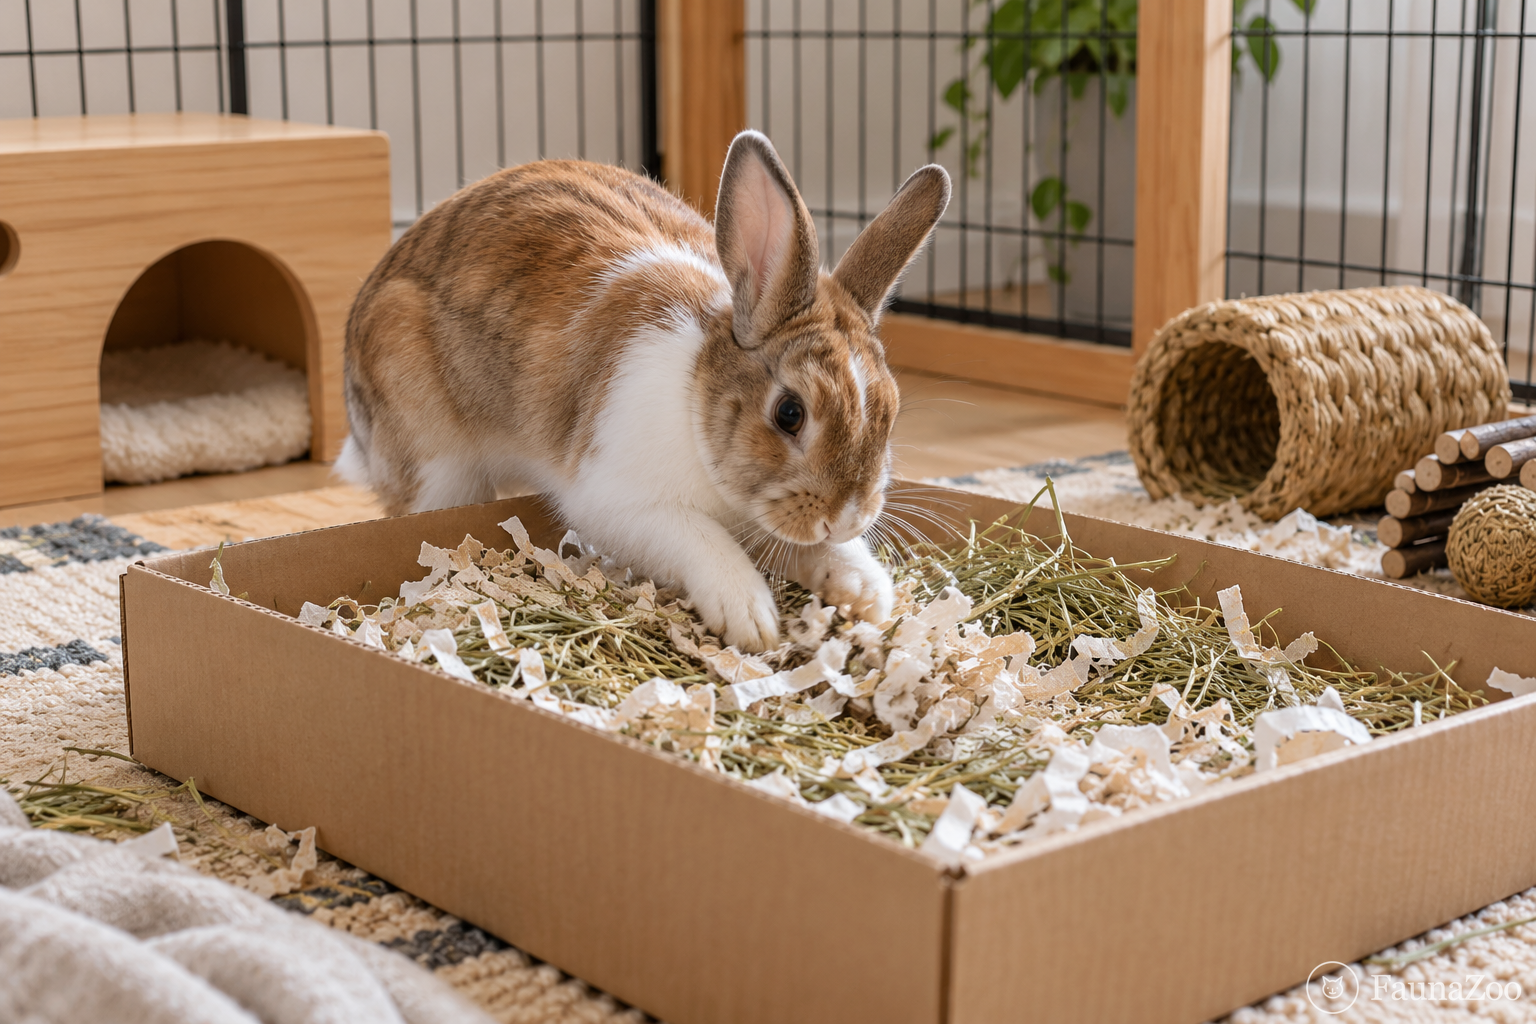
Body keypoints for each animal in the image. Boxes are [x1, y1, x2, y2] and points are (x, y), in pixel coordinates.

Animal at [337, 130, 951, 651]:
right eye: (789, 413)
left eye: (890, 412)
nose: (845, 518)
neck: (696, 397)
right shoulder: (617, 502)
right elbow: (699, 539)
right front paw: (751, 618)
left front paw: (867, 595)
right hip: (440, 468)